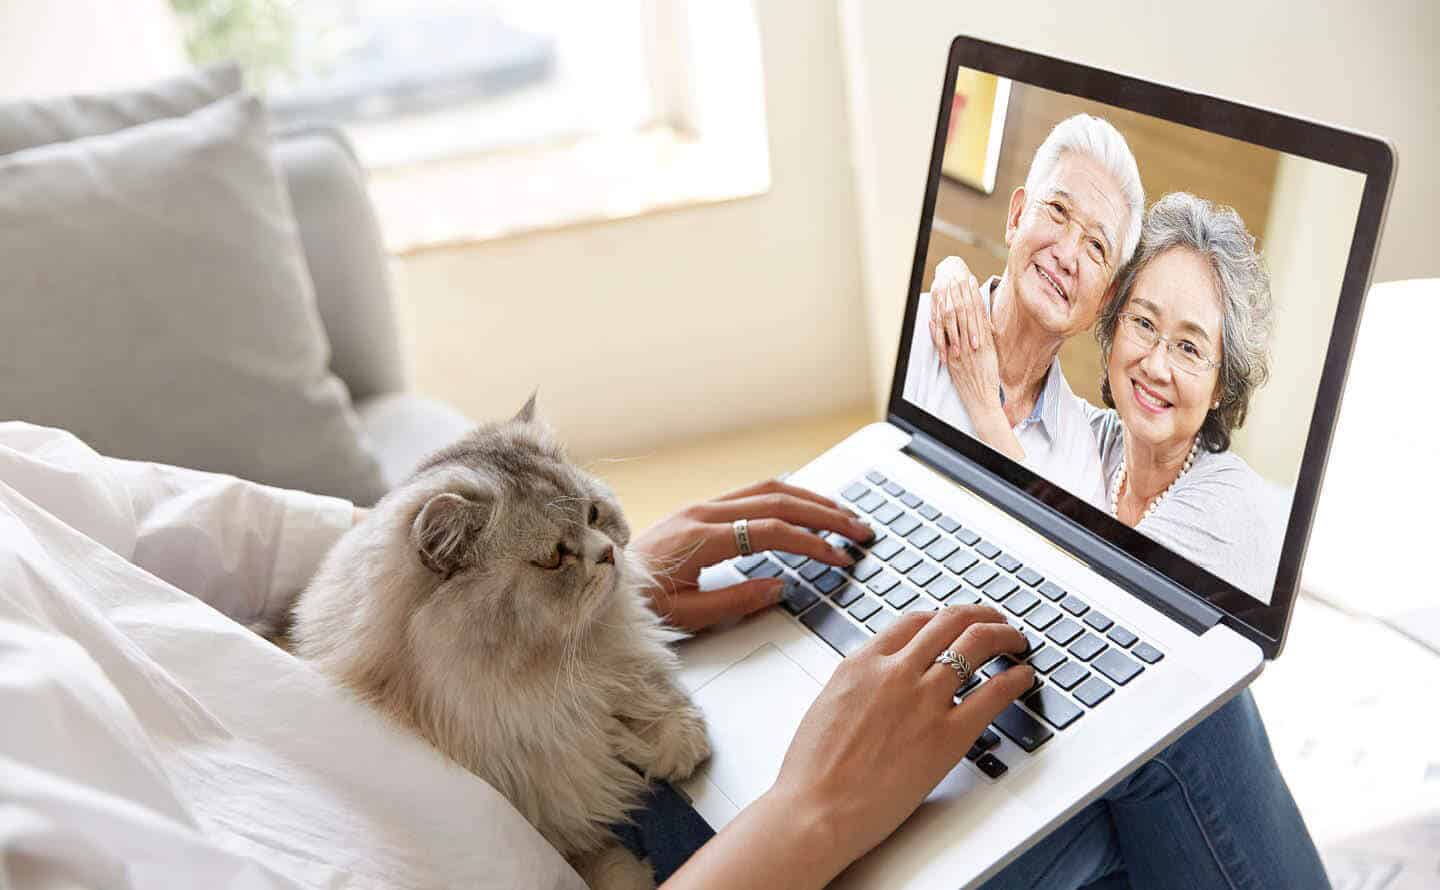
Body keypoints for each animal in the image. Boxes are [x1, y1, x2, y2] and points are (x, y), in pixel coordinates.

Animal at [282, 397, 708, 881]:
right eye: (555, 557)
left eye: (594, 515)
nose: (608, 553)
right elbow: (612, 866)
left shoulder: (617, 670)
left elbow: (657, 696)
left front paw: (669, 745)